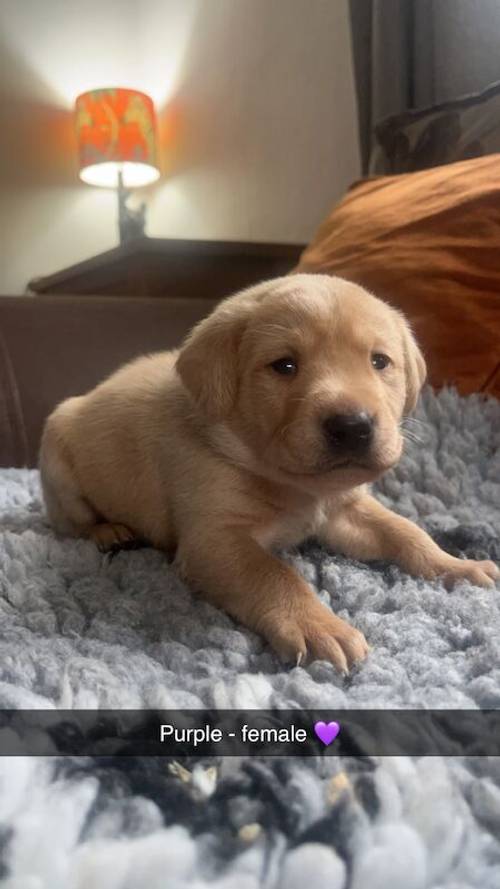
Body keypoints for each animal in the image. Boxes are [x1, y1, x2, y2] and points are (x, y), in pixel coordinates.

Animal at [41, 274, 498, 668]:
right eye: (284, 365)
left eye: (380, 361)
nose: (353, 426)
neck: (296, 486)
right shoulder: (214, 539)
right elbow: (274, 575)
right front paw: (318, 624)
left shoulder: (344, 511)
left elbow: (406, 531)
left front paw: (456, 565)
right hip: (59, 463)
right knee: (71, 524)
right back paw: (109, 531)